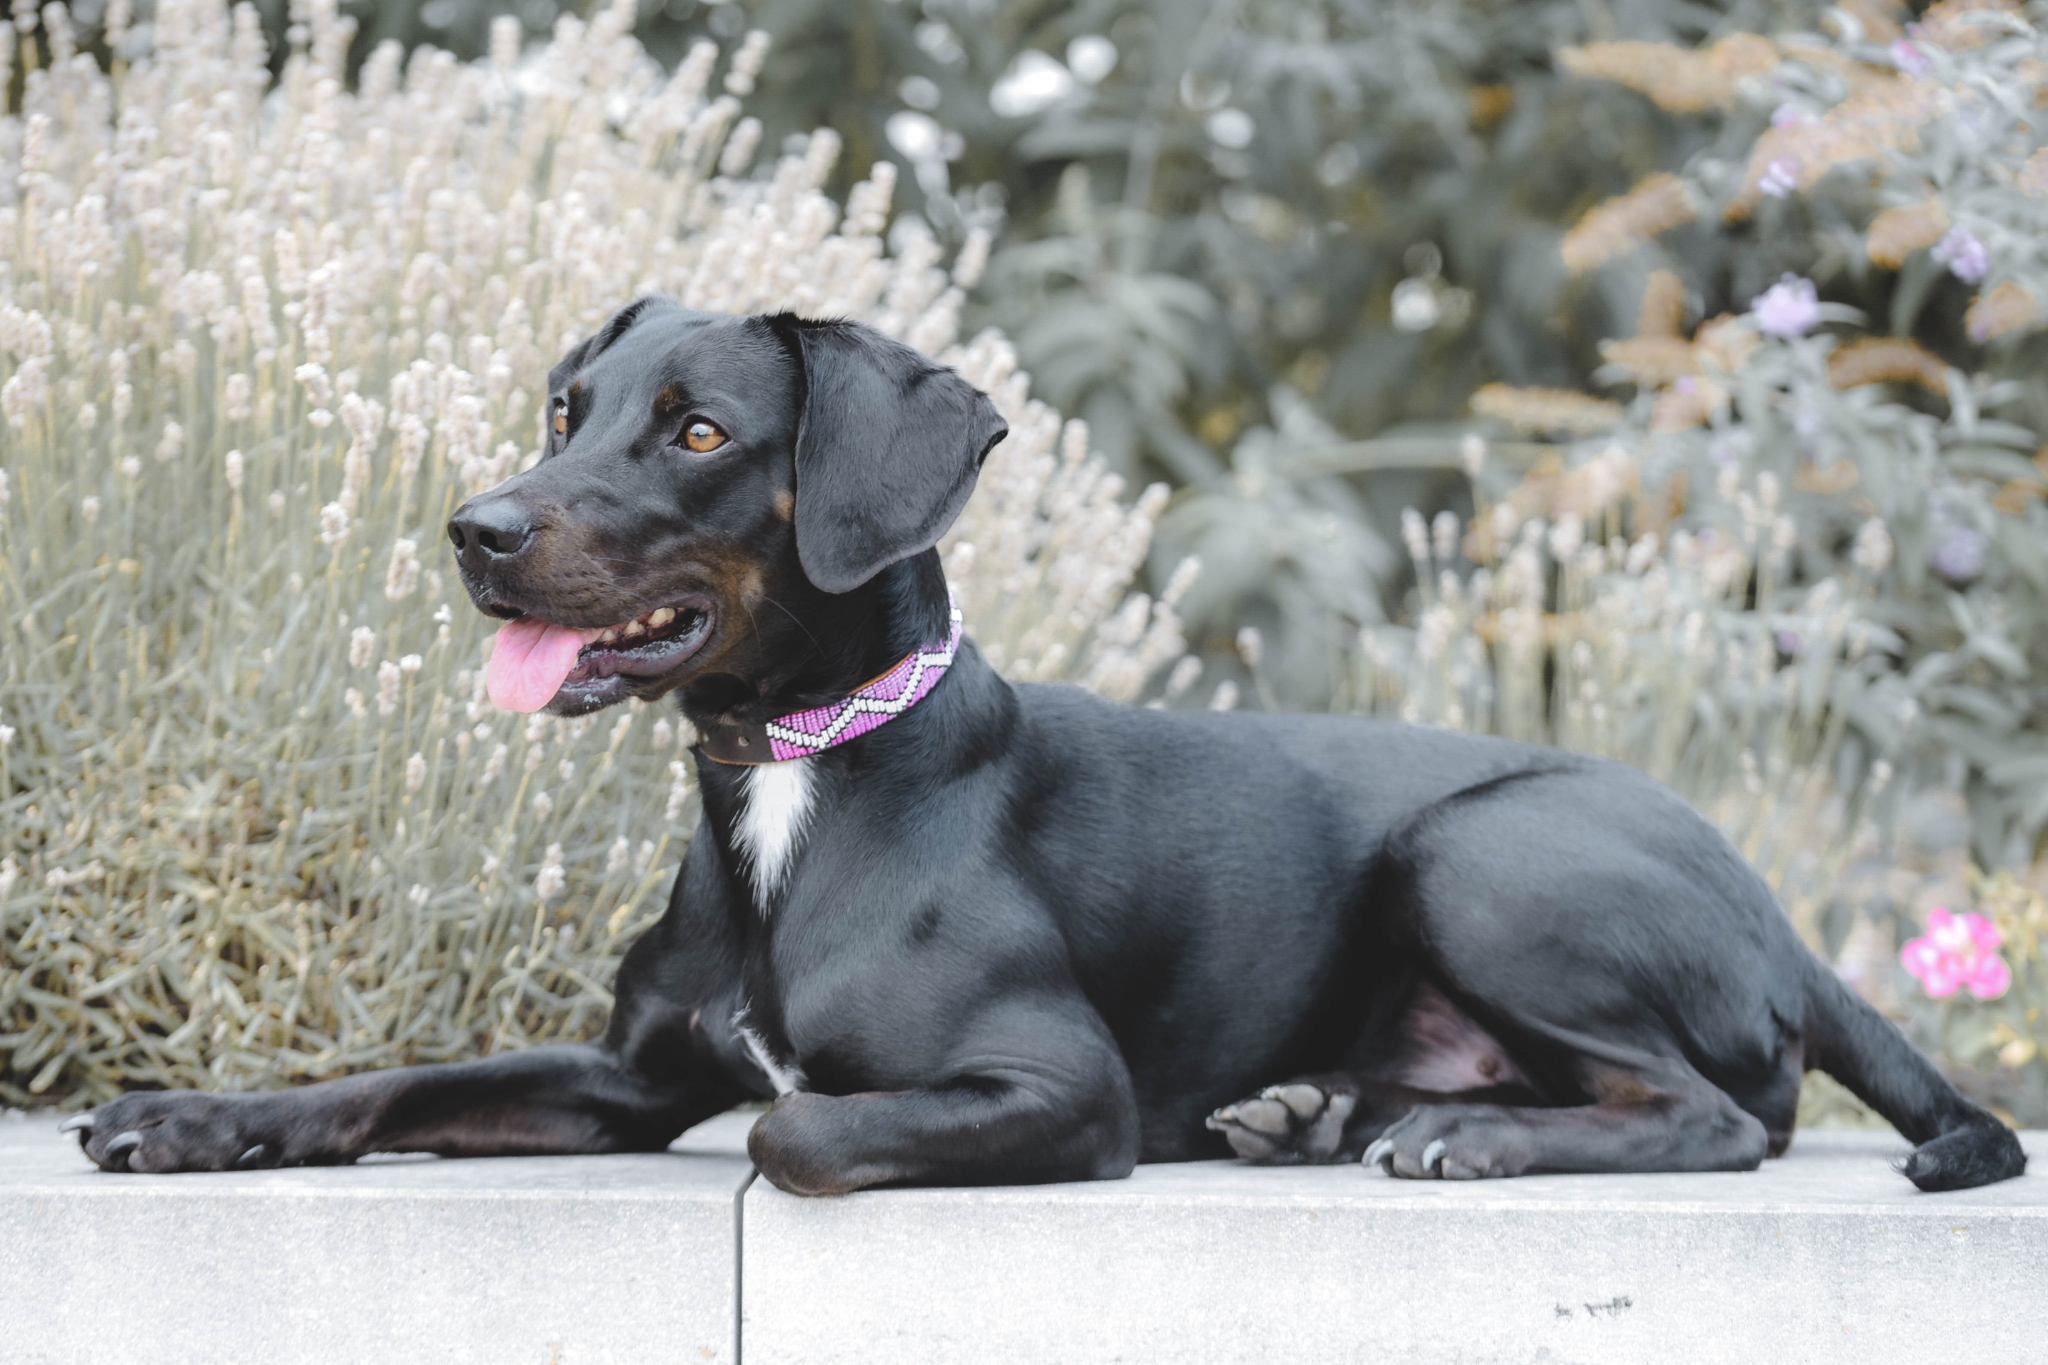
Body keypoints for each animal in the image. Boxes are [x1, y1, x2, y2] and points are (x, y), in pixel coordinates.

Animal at [68, 300, 2031, 1195]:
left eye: (696, 430)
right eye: (567, 409)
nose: (472, 529)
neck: (792, 777)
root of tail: (1776, 912)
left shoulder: (1050, 1085)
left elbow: (804, 1126)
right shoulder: (625, 1078)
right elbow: (398, 1082)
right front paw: (197, 1116)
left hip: (1482, 854)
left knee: (1726, 1112)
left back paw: (1459, 1141)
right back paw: (1320, 1109)